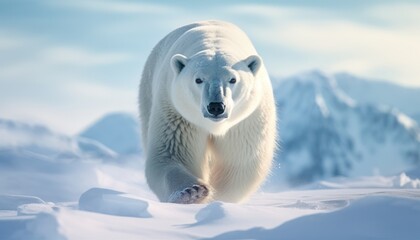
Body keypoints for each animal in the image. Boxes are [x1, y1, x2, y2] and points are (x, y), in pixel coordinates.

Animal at [139, 20, 276, 203]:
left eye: (233, 79)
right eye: (198, 79)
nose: (216, 106)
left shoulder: (245, 121)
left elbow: (239, 160)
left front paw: (219, 197)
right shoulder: (178, 113)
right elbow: (170, 153)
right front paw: (192, 192)